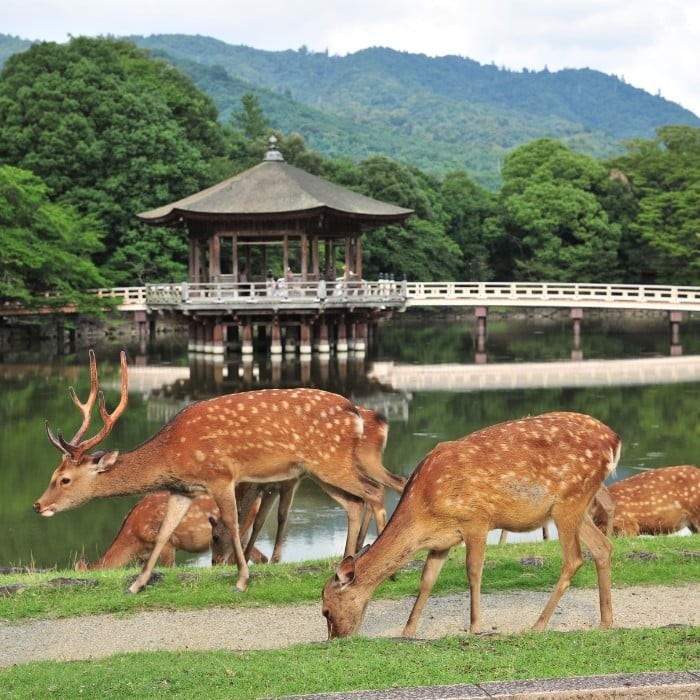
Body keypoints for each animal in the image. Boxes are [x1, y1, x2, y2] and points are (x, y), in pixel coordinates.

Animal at [211, 408, 407, 565]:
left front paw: (274, 559)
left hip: (363, 461)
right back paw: (360, 545)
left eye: (215, 537)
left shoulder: (288, 482)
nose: (215, 562)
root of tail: (382, 420)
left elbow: (280, 516)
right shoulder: (268, 487)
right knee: (376, 491)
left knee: (392, 484)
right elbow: (259, 521)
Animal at [322, 411, 621, 638]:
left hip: (569, 500)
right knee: (602, 547)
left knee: (574, 558)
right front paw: (407, 631)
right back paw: (606, 621)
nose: (336, 639)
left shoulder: (476, 519)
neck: (425, 511)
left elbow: (474, 571)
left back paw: (538, 624)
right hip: (576, 505)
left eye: (326, 610)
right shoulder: (441, 542)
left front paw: (476, 626)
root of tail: (614, 440)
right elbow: (427, 580)